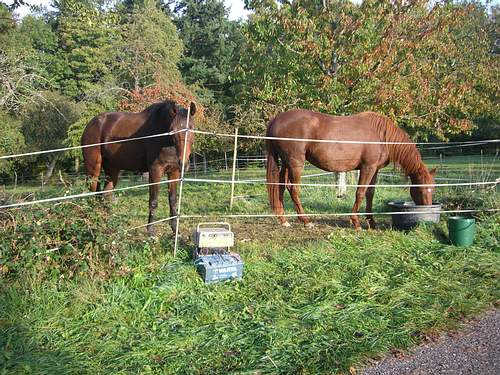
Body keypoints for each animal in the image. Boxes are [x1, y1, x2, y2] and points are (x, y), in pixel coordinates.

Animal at [81, 101, 196, 236]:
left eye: (192, 128)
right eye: (173, 130)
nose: (184, 162)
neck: (164, 138)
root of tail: (91, 124)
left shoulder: (174, 171)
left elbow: (173, 200)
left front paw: (175, 231)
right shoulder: (155, 171)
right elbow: (153, 201)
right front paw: (151, 232)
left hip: (112, 169)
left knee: (105, 195)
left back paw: (107, 226)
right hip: (93, 169)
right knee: (93, 193)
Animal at [268, 110, 436, 231]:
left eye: (432, 189)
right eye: (421, 189)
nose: (428, 210)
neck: (381, 135)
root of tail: (276, 119)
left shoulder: (374, 169)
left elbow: (370, 194)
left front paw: (371, 222)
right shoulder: (367, 167)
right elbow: (360, 192)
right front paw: (356, 222)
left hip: (286, 164)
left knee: (281, 187)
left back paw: (283, 220)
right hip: (296, 164)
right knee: (293, 189)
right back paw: (306, 221)